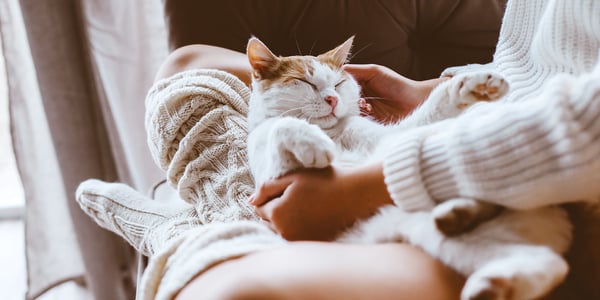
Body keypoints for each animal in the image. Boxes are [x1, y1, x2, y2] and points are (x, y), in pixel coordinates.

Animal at [245, 37, 572, 300]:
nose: (332, 98)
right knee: (545, 261)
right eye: (306, 82)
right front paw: (312, 142)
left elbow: (430, 111)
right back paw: (484, 272)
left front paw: (471, 84)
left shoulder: (394, 138)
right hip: (434, 235)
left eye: (338, 84)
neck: (334, 133)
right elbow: (282, 125)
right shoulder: (272, 177)